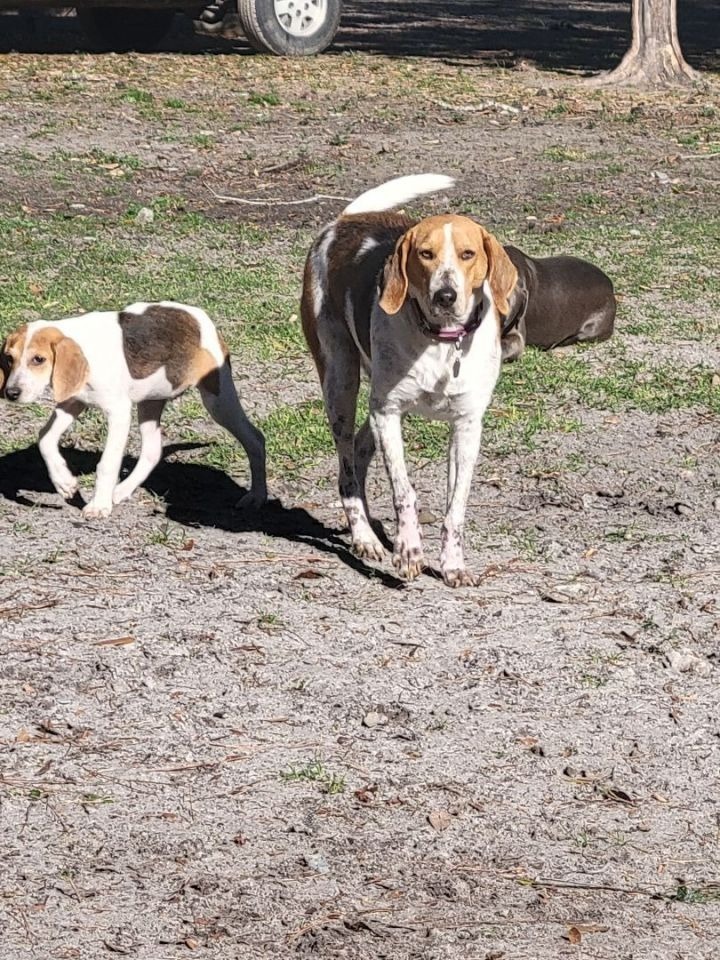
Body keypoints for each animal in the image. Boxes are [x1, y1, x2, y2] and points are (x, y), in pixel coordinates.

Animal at [0, 304, 268, 520]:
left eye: (38, 359)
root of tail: (197, 315)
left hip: (219, 400)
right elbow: (44, 438)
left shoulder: (118, 413)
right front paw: (64, 483)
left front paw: (98, 505)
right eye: (9, 358)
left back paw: (257, 497)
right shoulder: (72, 402)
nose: (11, 393)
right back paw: (121, 490)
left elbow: (107, 463)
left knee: (255, 439)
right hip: (150, 403)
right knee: (152, 451)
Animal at [300, 176, 516, 588]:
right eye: (425, 254)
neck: (442, 342)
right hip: (341, 383)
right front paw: (410, 551)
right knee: (347, 470)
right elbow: (405, 492)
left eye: (467, 254)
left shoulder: (466, 426)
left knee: (361, 449)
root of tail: (346, 220)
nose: (445, 295)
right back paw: (365, 537)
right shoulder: (389, 412)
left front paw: (452, 564)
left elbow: (456, 506)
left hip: (373, 407)